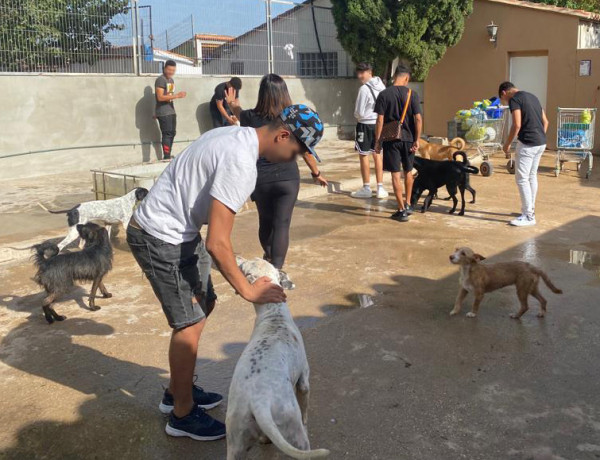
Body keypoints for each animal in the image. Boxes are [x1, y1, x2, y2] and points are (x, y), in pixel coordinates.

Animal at [226, 256, 328, 460]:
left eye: (244, 265)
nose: (236, 256)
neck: (274, 314)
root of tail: (259, 403)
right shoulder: (304, 379)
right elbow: (305, 407)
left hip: (235, 441)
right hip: (294, 430)